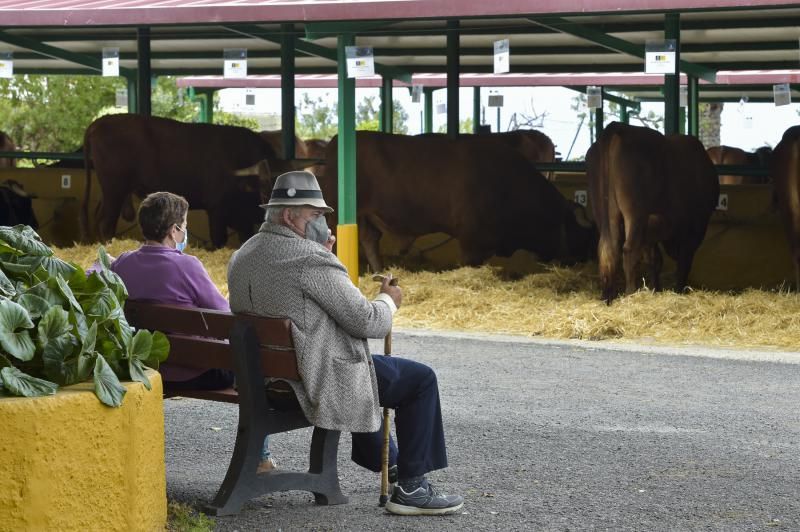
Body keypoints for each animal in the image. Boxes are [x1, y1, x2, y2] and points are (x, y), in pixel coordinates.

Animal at [81, 114, 292, 247]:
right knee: (106, 223)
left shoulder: (243, 219)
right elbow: (219, 240)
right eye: (264, 190)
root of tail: (100, 122)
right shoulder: (217, 210)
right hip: (114, 190)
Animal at [324, 132, 592, 272]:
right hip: (335, 212)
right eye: (585, 234)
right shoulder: (472, 244)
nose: (588, 259)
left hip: (366, 216)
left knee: (370, 240)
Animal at [584, 121, 720, 304]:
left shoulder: (652, 233)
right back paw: (630, 293)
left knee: (608, 248)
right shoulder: (694, 228)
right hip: (636, 214)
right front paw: (678, 290)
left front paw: (657, 290)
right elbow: (683, 261)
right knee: (629, 250)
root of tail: (617, 128)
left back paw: (607, 296)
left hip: (604, 212)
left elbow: (655, 259)